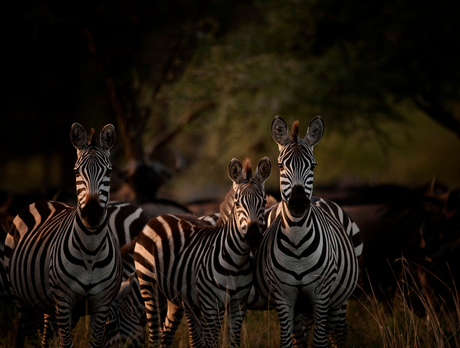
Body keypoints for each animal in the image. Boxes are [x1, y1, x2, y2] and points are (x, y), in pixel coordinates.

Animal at [4, 123, 122, 348]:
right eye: (76, 171)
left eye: (109, 171)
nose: (92, 213)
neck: (91, 251)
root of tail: (44, 200)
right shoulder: (64, 300)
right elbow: (65, 344)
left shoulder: (101, 304)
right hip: (22, 300)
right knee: (31, 339)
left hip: (51, 306)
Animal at [134, 157, 270, 348]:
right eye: (237, 203)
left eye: (264, 203)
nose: (253, 237)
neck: (235, 263)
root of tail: (159, 216)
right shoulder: (210, 305)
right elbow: (211, 342)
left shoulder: (238, 305)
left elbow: (233, 341)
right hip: (148, 285)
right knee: (155, 335)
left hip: (176, 298)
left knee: (166, 333)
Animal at [252, 117, 362, 348]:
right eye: (281, 166)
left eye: (312, 165)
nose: (298, 202)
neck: (297, 243)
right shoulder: (284, 296)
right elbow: (288, 342)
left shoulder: (321, 295)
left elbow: (320, 342)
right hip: (303, 306)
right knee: (302, 336)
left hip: (339, 299)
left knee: (338, 333)